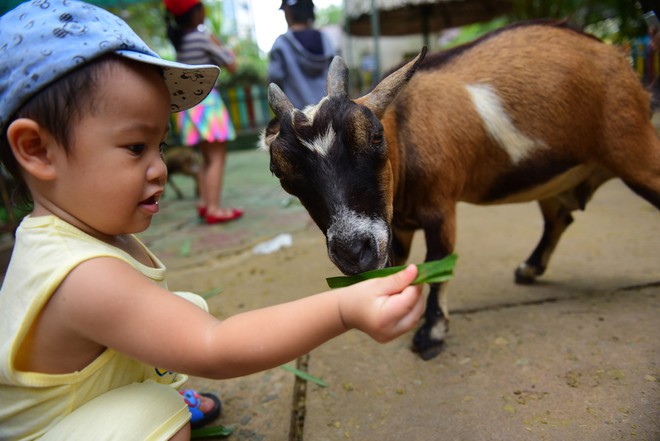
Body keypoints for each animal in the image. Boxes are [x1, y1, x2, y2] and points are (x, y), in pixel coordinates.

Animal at [262, 20, 660, 360]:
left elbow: (439, 260)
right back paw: (529, 269)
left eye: (375, 136)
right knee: (558, 218)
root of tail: (617, 56)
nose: (353, 252)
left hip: (634, 145)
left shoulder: (440, 207)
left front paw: (431, 333)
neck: (404, 133)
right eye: (280, 173)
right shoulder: (396, 223)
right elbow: (403, 262)